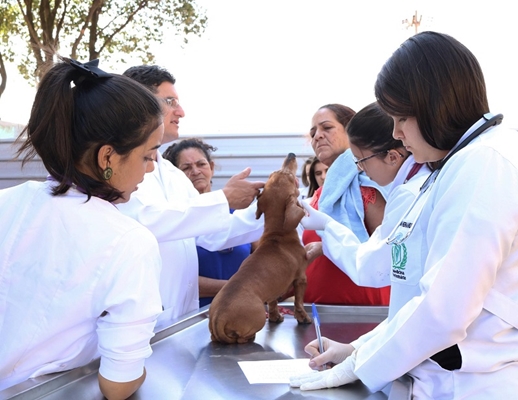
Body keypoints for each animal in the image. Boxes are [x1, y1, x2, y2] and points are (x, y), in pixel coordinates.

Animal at [208, 153, 312, 344]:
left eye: (272, 174)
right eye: (290, 177)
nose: (291, 155)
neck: (278, 235)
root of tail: (219, 318)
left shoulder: (273, 291)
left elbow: (273, 303)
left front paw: (275, 316)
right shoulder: (301, 278)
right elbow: (299, 303)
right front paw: (303, 318)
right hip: (256, 319)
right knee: (241, 338)